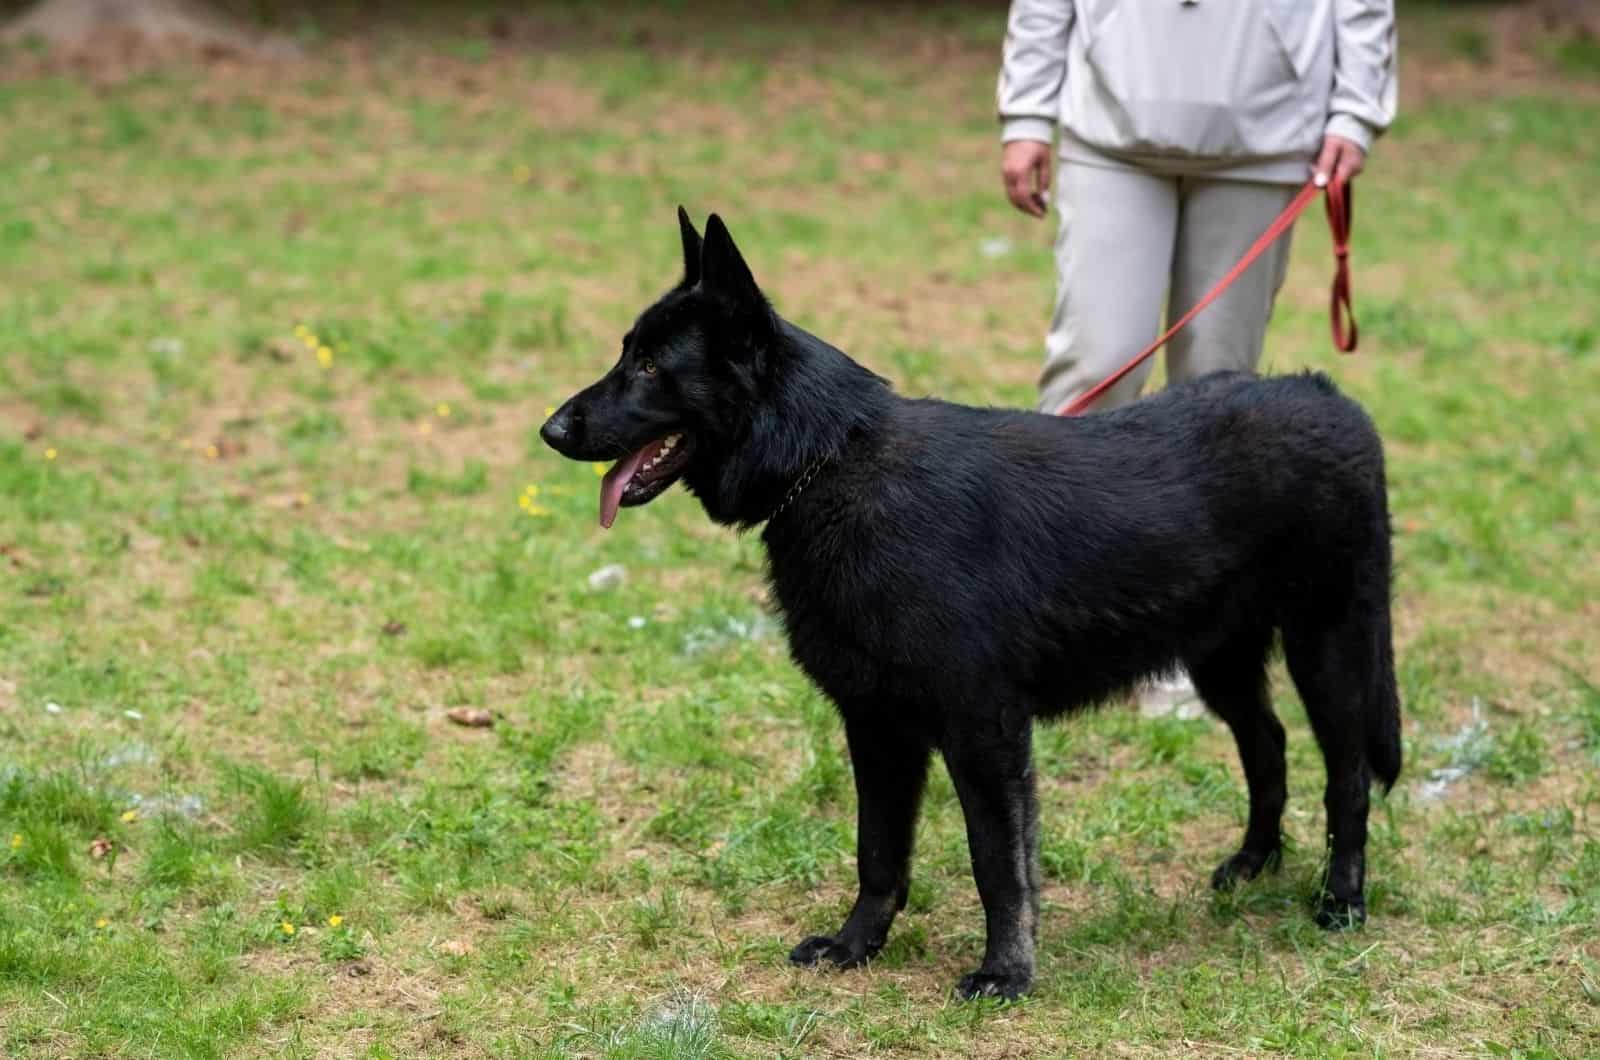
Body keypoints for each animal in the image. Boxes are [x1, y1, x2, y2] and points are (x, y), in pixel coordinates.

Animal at [537, 211, 1401, 999]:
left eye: (651, 366)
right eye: (628, 354)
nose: (550, 430)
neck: (832, 462)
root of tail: (1329, 397)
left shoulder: (981, 732)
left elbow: (998, 863)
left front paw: (1006, 972)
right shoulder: (878, 727)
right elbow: (878, 854)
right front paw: (857, 947)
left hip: (1328, 650)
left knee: (1348, 775)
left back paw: (1340, 899)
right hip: (1219, 660)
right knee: (1268, 743)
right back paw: (1255, 862)